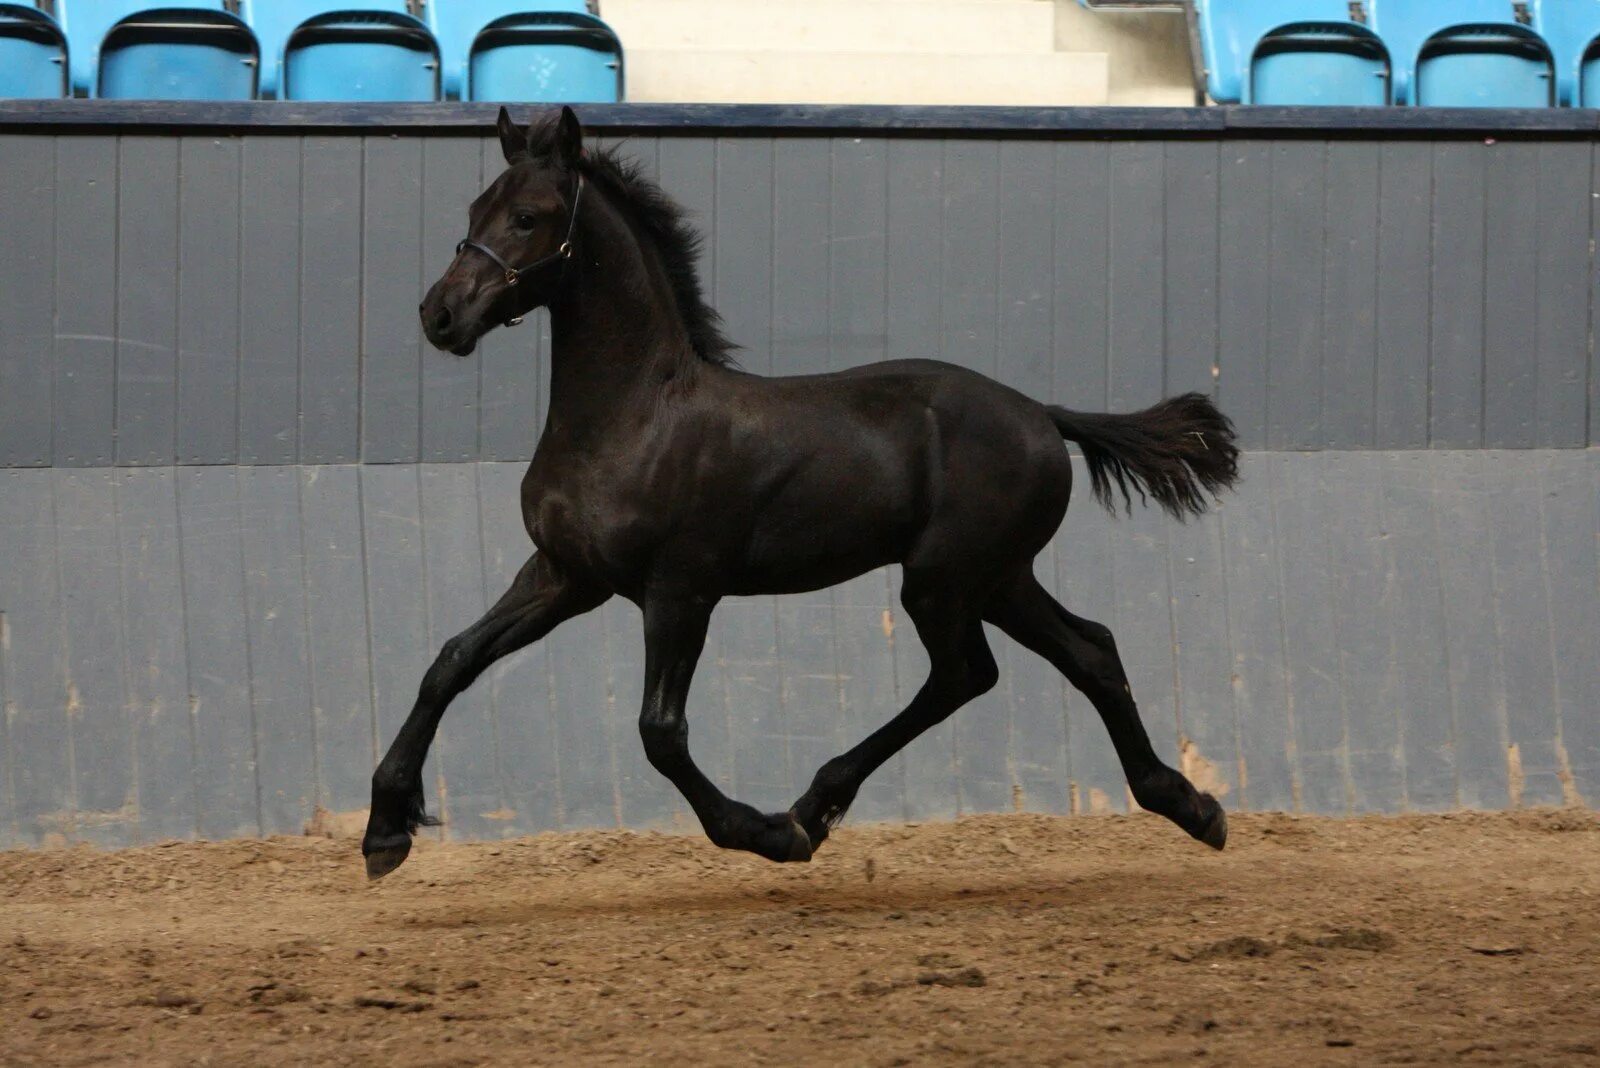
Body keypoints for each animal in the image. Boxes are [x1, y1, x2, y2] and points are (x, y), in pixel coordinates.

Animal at [360, 106, 1235, 876]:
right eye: (475, 207)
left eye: (530, 216)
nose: (440, 314)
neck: (632, 415)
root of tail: (1043, 415)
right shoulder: (565, 576)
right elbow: (451, 661)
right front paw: (384, 831)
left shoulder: (680, 590)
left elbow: (660, 732)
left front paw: (764, 834)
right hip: (997, 577)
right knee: (1087, 651)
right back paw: (1191, 806)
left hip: (945, 578)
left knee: (966, 674)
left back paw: (811, 808)